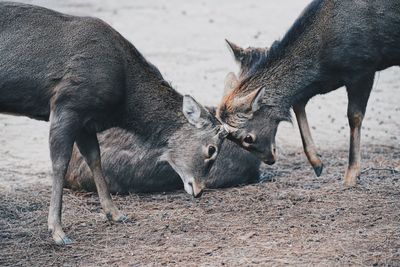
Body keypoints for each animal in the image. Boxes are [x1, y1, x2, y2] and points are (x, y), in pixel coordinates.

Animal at [0, 2, 228, 246]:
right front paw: (58, 231)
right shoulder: (67, 103)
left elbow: (95, 158)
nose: (199, 190)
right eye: (211, 149)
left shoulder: (86, 121)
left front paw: (115, 213)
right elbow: (60, 164)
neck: (123, 103)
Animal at [217, 0, 400, 187]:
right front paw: (317, 163)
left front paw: (351, 176)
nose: (270, 160)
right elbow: (298, 103)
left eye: (248, 138)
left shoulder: (363, 67)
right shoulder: (327, 81)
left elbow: (354, 116)